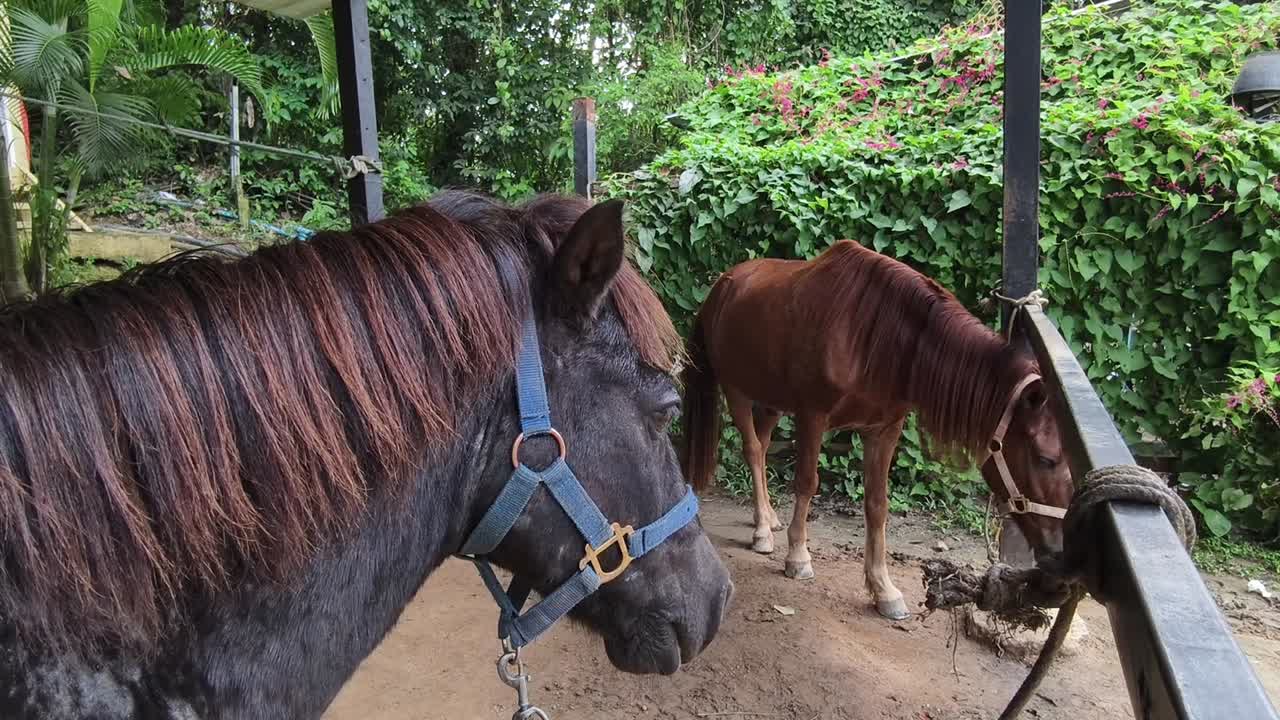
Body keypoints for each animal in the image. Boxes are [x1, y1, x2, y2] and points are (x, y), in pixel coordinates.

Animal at [680, 238, 1071, 620]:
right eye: (1046, 458)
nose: (1058, 554)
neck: (874, 336)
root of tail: (722, 286)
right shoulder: (812, 417)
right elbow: (806, 482)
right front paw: (798, 557)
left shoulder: (884, 429)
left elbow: (877, 504)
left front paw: (884, 590)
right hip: (737, 391)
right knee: (751, 449)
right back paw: (763, 530)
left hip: (771, 400)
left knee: (761, 448)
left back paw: (769, 519)